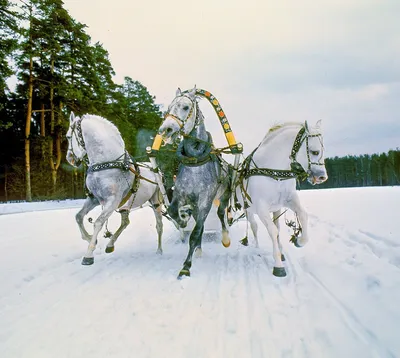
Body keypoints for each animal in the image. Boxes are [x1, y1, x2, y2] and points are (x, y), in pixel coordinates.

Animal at [66, 113, 163, 264]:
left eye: (68, 137)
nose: (69, 158)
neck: (106, 164)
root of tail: (156, 170)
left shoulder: (113, 200)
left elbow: (98, 222)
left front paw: (89, 254)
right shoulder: (94, 199)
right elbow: (78, 216)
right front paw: (89, 238)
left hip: (155, 200)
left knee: (159, 225)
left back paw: (160, 249)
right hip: (126, 205)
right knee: (125, 222)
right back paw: (110, 245)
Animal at [157, 86, 231, 280]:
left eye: (185, 107)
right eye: (169, 108)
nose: (165, 129)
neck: (195, 162)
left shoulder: (205, 200)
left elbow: (196, 232)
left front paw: (186, 266)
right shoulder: (181, 194)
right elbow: (173, 212)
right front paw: (183, 220)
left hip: (224, 195)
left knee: (221, 213)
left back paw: (225, 238)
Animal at [236, 120, 326, 276]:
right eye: (315, 152)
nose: (322, 177)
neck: (274, 171)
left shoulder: (289, 199)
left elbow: (302, 215)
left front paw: (299, 241)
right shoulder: (261, 207)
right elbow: (272, 231)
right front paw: (278, 265)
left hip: (276, 209)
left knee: (277, 225)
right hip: (248, 210)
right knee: (254, 226)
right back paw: (257, 249)